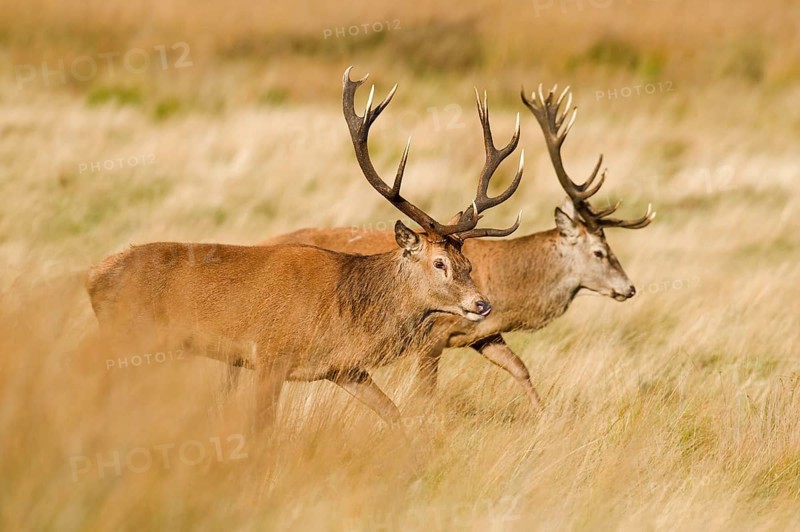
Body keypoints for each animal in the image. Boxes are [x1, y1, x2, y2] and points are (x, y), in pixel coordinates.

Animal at [86, 67, 524, 430]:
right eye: (438, 263)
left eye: (467, 263)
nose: (482, 304)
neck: (347, 312)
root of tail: (93, 276)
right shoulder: (269, 355)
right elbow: (261, 428)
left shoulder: (345, 369)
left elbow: (393, 412)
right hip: (131, 335)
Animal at [242, 84, 655, 413]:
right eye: (599, 252)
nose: (630, 287)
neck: (508, 290)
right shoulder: (433, 337)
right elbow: (426, 394)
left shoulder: (484, 333)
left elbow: (520, 367)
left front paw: (544, 417)